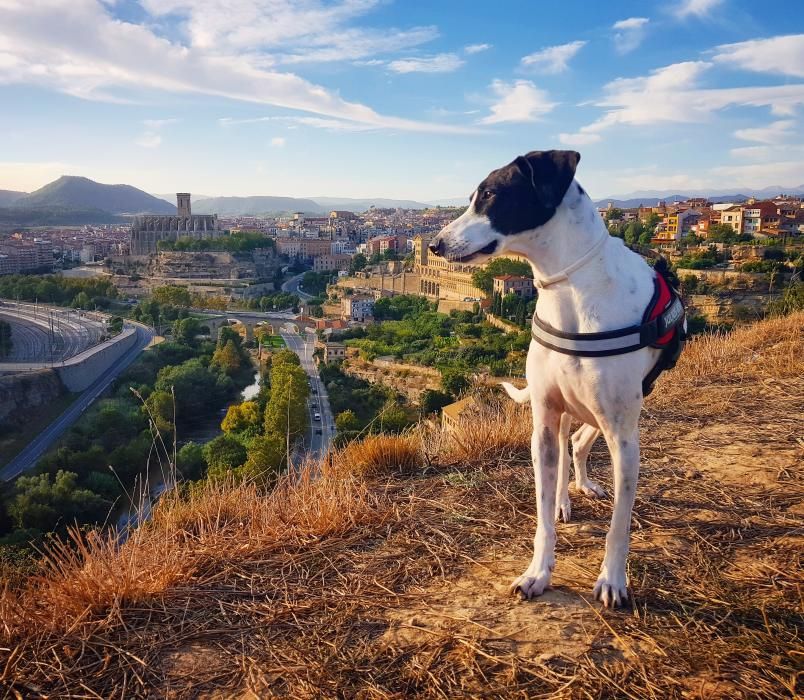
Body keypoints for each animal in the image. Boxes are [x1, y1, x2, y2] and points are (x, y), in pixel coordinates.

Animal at [430, 149, 688, 608]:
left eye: (490, 195)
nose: (434, 244)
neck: (569, 287)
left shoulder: (624, 436)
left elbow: (619, 524)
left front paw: (613, 581)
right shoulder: (545, 422)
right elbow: (543, 513)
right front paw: (538, 572)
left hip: (605, 415)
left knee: (581, 444)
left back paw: (583, 486)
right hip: (567, 412)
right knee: (572, 447)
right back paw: (567, 498)